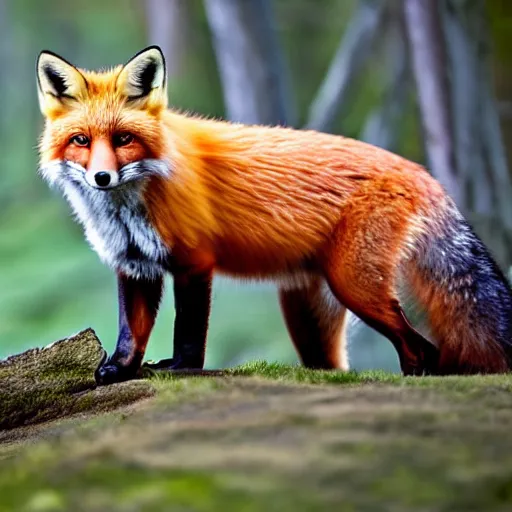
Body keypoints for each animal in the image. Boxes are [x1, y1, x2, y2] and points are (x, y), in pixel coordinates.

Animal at [37, 47, 512, 384]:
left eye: (123, 139)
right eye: (81, 140)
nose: (101, 177)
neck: (130, 208)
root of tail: (421, 171)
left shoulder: (194, 262)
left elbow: (187, 330)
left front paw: (179, 369)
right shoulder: (134, 264)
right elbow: (130, 332)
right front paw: (121, 370)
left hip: (354, 286)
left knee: (424, 349)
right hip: (308, 313)